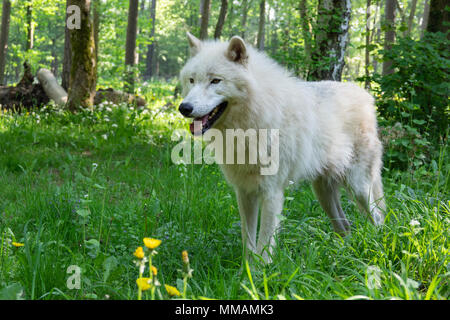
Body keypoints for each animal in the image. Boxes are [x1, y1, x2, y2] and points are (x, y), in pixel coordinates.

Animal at [178, 32, 384, 262]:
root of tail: (366, 97)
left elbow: (264, 244)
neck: (253, 120)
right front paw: (245, 269)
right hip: (323, 193)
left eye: (215, 80)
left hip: (358, 187)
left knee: (378, 217)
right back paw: (342, 256)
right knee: (344, 226)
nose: (184, 108)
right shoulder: (244, 192)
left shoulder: (272, 193)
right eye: (192, 80)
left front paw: (261, 270)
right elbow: (248, 242)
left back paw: (376, 249)